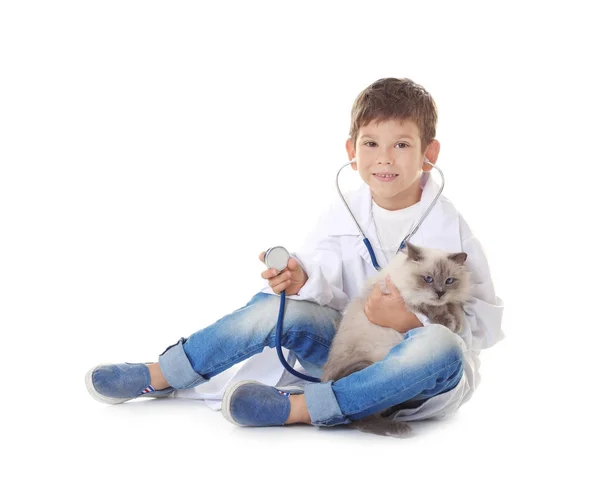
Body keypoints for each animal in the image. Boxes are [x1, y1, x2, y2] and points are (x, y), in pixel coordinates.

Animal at [322, 243, 472, 438]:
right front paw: (448, 322)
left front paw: (457, 323)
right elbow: (430, 307)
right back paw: (399, 429)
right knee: (358, 419)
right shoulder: (408, 299)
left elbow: (453, 305)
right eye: (428, 279)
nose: (440, 293)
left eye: (449, 281)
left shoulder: (448, 300)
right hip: (366, 369)